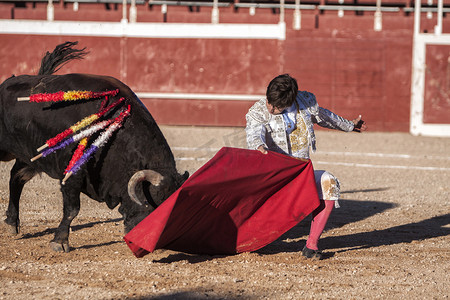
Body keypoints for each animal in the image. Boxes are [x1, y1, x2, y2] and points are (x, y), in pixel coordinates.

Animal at [0, 48, 188, 252]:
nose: (156, 245)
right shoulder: (71, 172)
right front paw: (59, 241)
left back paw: (12, 223)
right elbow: (72, 209)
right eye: (155, 203)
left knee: (16, 178)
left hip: (29, 156)